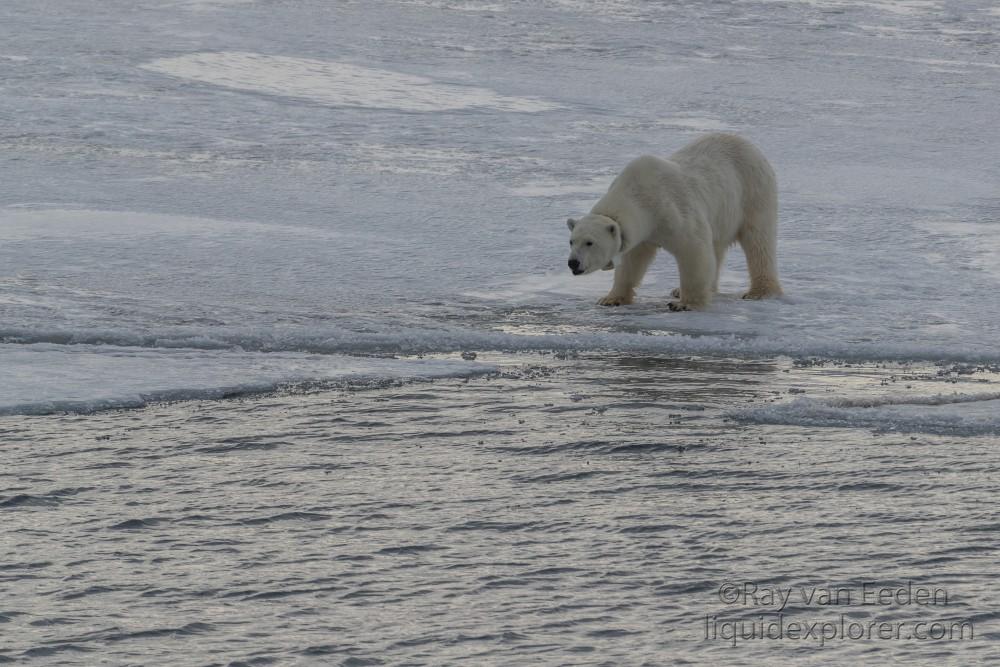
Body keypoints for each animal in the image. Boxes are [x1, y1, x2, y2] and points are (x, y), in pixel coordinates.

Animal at [568, 135, 784, 314]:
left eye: (590, 242)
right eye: (571, 241)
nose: (573, 262)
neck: (640, 196)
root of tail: (750, 146)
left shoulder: (671, 210)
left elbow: (694, 251)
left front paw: (685, 304)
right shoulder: (643, 231)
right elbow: (632, 261)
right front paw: (610, 299)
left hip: (752, 192)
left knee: (758, 242)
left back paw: (759, 291)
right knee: (716, 247)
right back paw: (684, 290)